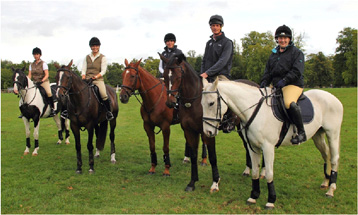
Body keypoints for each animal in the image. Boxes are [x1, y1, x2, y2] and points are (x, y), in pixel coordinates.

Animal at [201, 78, 344, 209]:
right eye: (201, 104)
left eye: (211, 103)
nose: (208, 132)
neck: (255, 111)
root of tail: (333, 98)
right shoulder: (253, 147)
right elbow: (255, 172)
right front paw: (253, 196)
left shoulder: (268, 147)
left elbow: (269, 173)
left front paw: (271, 200)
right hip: (318, 135)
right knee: (326, 155)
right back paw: (325, 182)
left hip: (332, 134)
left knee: (334, 158)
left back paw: (331, 189)